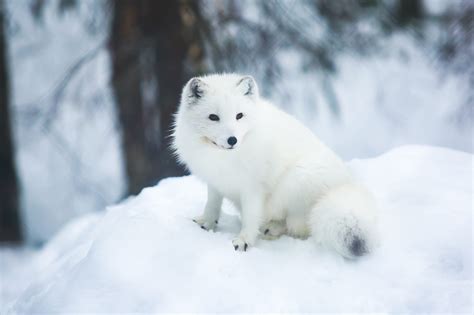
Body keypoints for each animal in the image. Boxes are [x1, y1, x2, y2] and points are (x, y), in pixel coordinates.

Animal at [173, 74, 378, 260]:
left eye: (239, 116)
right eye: (213, 117)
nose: (232, 140)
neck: (223, 158)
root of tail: (345, 185)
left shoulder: (253, 188)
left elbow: (250, 218)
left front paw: (244, 241)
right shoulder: (215, 182)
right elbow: (212, 205)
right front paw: (206, 224)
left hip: (297, 180)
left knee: (299, 227)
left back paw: (271, 228)